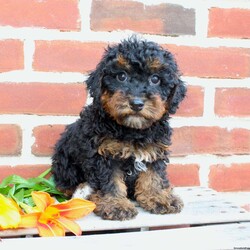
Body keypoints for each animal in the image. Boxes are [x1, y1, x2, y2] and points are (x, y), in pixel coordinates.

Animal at [51, 36, 187, 221]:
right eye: (121, 76)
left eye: (155, 79)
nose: (136, 103)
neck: (133, 130)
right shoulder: (103, 153)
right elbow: (110, 181)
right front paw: (115, 204)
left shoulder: (155, 150)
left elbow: (153, 176)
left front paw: (159, 197)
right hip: (65, 164)